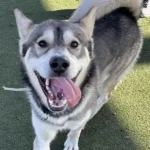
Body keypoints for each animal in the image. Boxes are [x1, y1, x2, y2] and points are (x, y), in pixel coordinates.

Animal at [14, 0, 143, 149]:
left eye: (74, 44)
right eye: (42, 43)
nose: (59, 63)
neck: (61, 113)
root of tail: (126, 12)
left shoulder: (78, 121)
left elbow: (76, 129)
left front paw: (72, 141)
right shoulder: (41, 136)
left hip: (108, 79)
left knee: (104, 96)